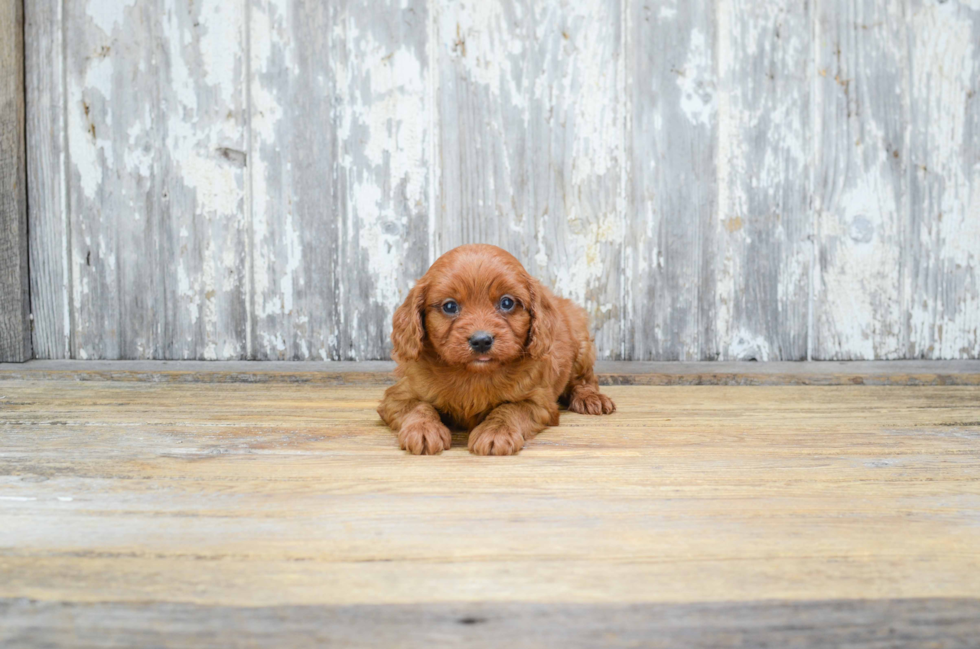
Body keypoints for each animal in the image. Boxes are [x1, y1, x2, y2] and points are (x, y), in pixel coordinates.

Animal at [378, 243, 616, 456]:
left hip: (581, 342)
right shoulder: (398, 395)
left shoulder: (538, 401)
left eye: (507, 303)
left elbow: (509, 409)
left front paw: (495, 433)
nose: (481, 340)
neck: (473, 375)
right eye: (450, 306)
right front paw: (423, 429)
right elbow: (418, 406)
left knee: (584, 380)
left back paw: (591, 398)